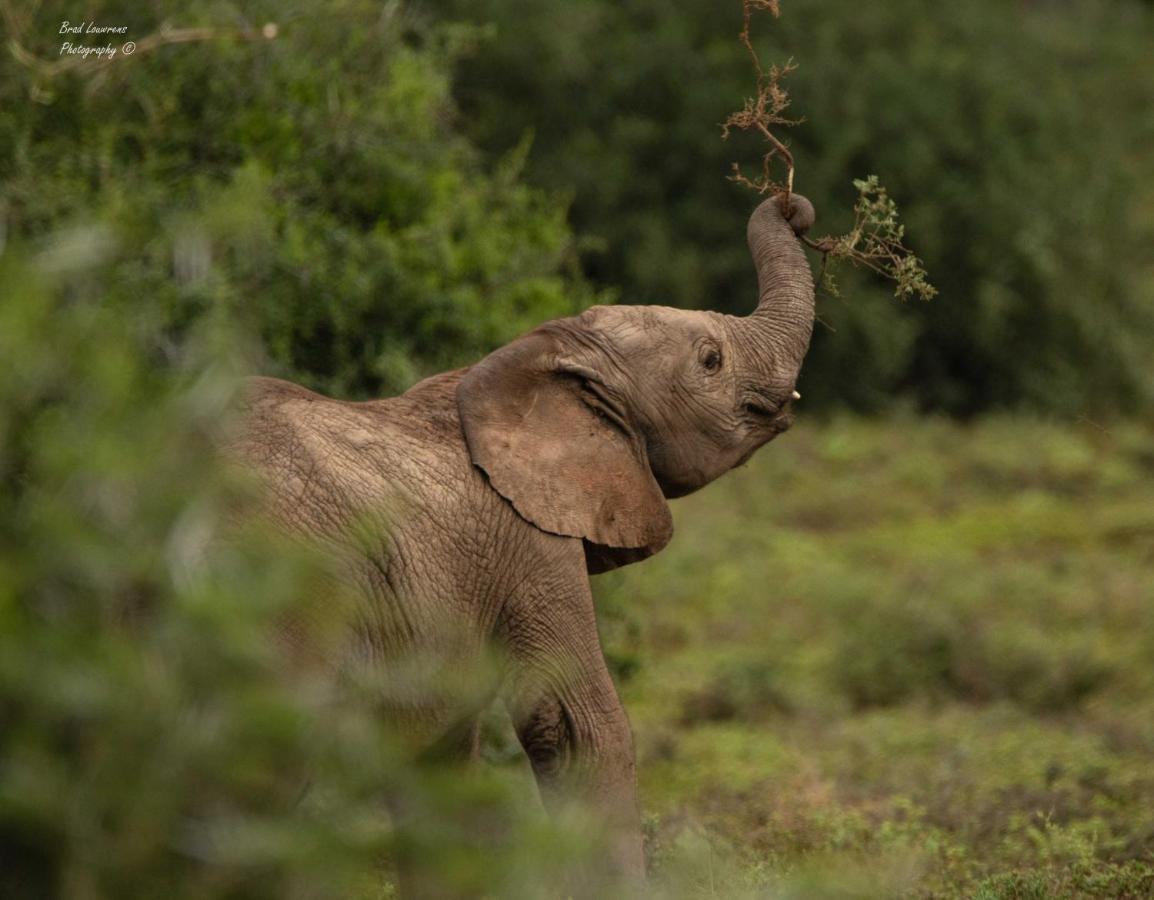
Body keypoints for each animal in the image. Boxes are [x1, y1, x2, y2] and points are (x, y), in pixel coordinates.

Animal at [225, 191, 817, 890]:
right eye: (710, 360)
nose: (793, 205)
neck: (539, 356)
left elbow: (443, 761)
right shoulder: (530, 540)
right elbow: (578, 729)